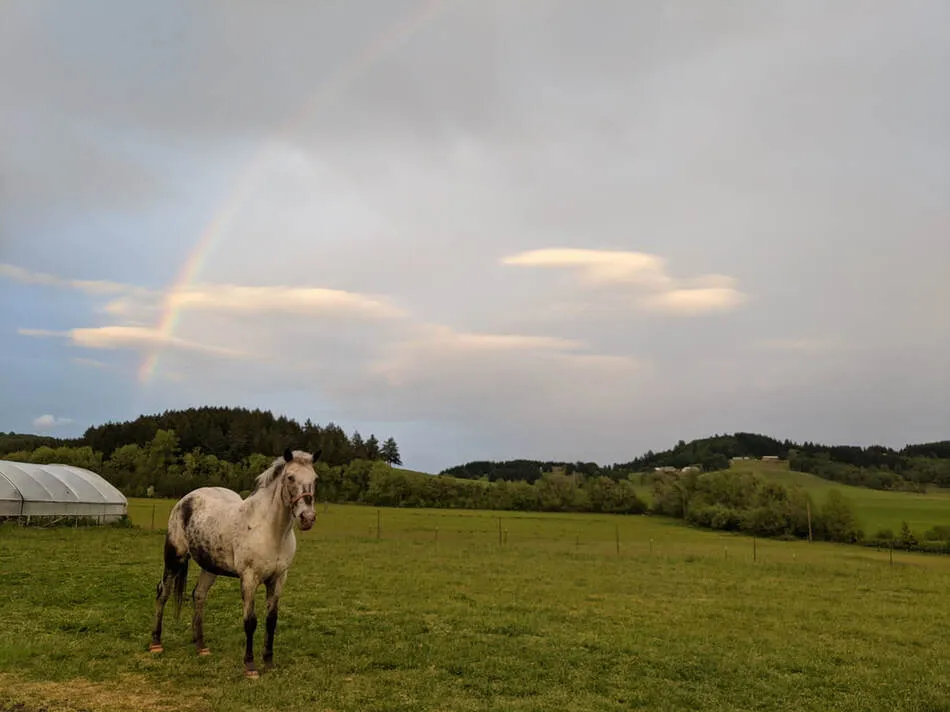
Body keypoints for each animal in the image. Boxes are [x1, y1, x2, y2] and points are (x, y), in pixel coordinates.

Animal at [148, 447, 320, 678]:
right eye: (290, 477)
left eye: (315, 479)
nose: (307, 518)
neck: (269, 530)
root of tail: (186, 499)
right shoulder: (249, 578)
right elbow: (250, 621)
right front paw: (250, 666)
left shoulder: (278, 578)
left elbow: (271, 620)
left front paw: (269, 661)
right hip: (174, 558)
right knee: (163, 593)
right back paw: (156, 642)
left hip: (210, 567)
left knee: (198, 595)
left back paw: (201, 646)